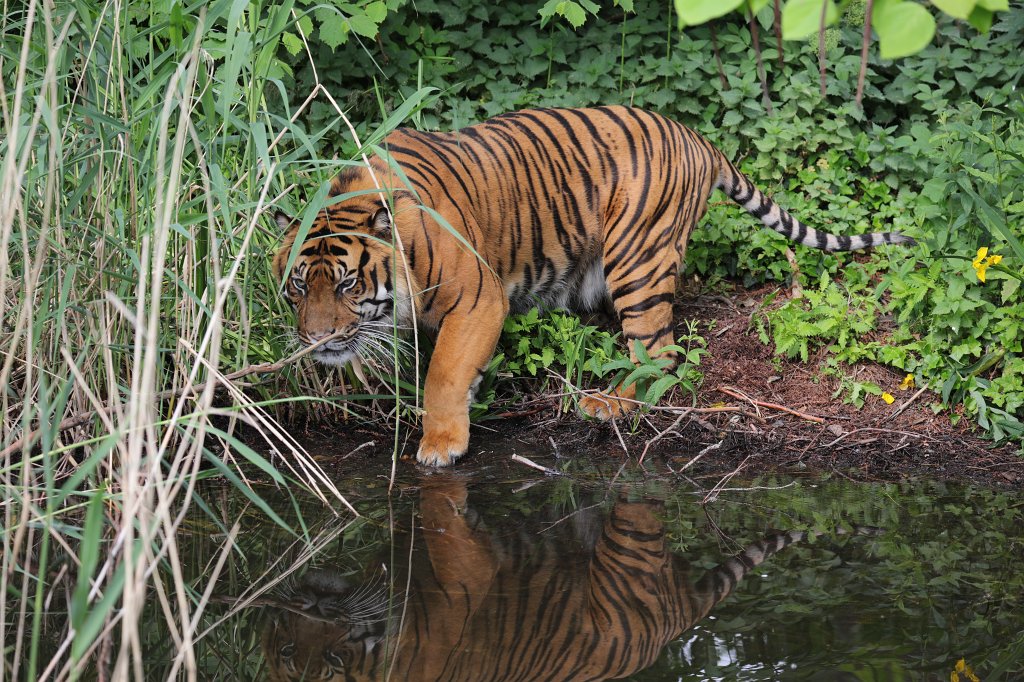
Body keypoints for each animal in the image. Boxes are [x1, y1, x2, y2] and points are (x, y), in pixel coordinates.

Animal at [273, 106, 915, 466]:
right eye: (298, 288)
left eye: (348, 284)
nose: (315, 341)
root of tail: (697, 137)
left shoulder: (478, 297)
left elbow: (445, 373)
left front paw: (440, 446)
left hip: (639, 257)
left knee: (660, 353)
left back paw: (608, 403)